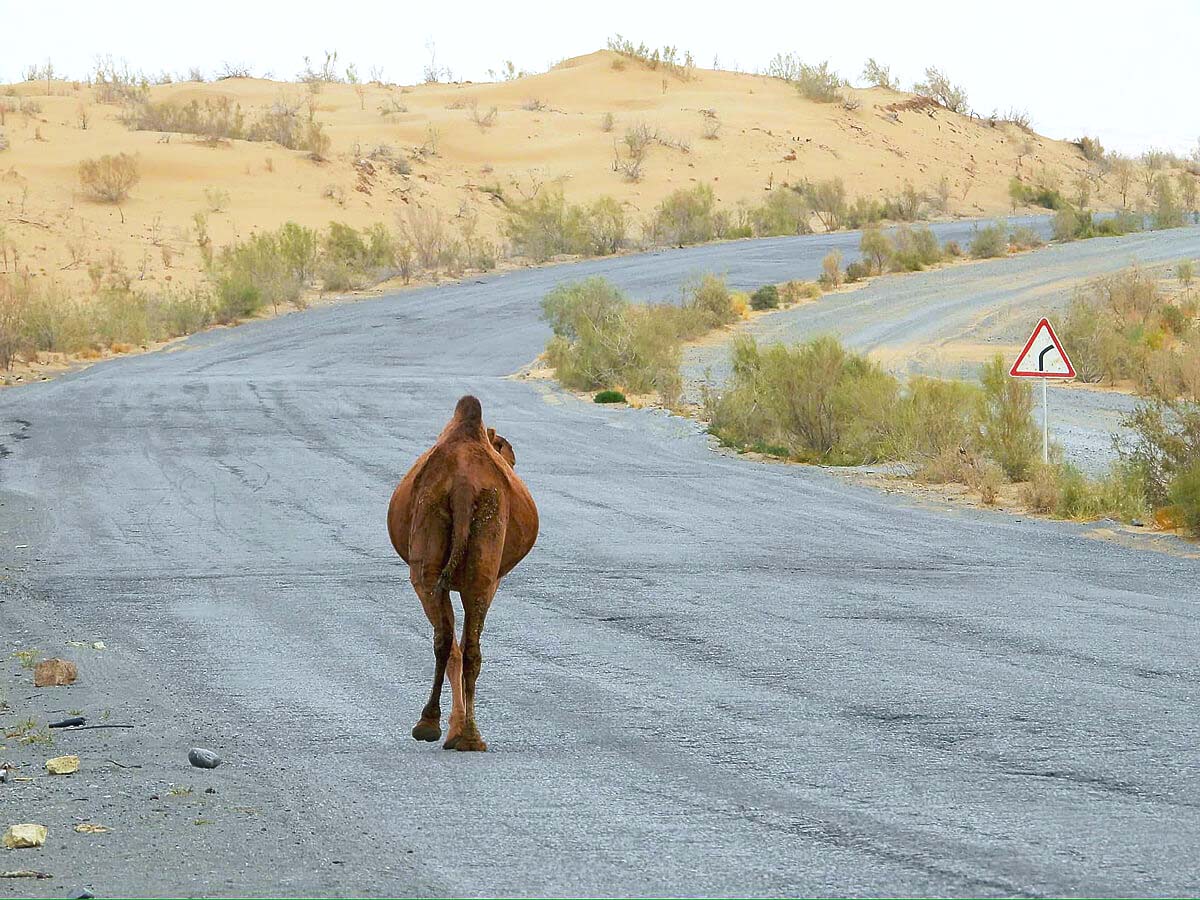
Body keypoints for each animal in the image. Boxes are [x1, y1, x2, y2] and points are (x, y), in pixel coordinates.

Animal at [386, 395, 539, 751]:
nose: (514, 463)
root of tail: (463, 486)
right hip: (479, 558)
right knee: (465, 646)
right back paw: (465, 734)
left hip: (435, 565)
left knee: (449, 641)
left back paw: (435, 726)